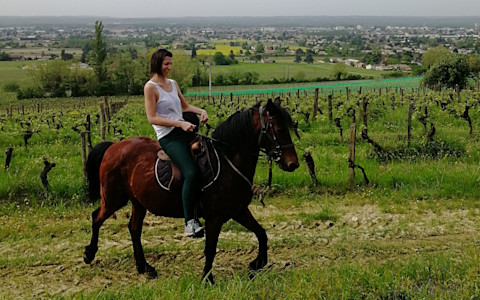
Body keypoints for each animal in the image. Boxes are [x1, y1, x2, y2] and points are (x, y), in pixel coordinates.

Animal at [84, 98, 298, 284]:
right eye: (279, 129)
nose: (293, 164)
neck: (227, 162)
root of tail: (113, 147)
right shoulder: (214, 218)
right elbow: (210, 249)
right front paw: (207, 279)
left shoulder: (238, 210)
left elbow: (262, 233)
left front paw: (256, 264)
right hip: (113, 199)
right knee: (97, 218)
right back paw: (89, 254)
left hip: (138, 202)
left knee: (134, 229)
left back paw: (144, 267)